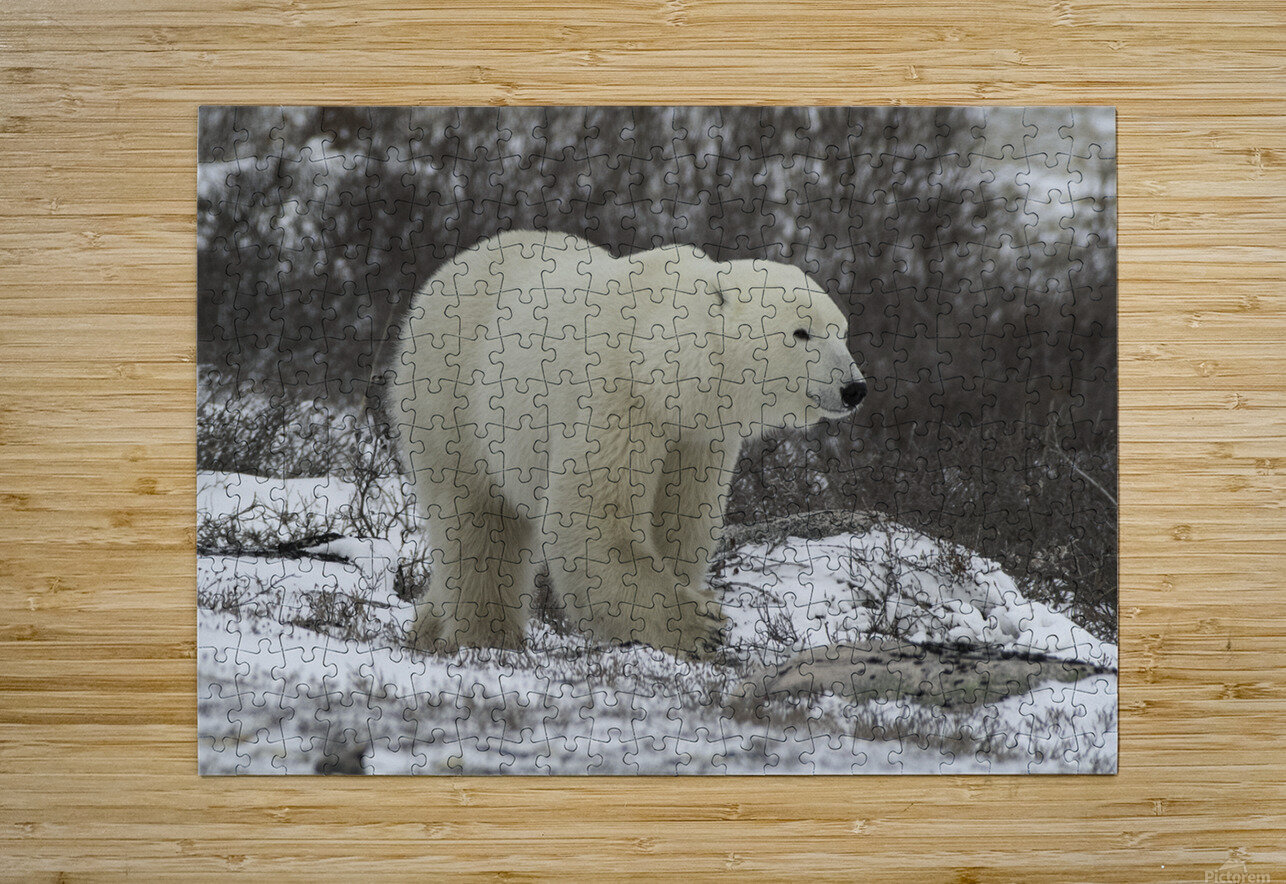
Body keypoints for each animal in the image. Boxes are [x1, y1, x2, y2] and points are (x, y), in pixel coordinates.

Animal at [387, 229, 866, 658]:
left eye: (841, 331)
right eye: (801, 333)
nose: (854, 388)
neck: (660, 363)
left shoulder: (698, 435)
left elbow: (680, 521)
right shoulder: (616, 399)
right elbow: (594, 521)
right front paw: (698, 624)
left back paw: (426, 629)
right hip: (450, 399)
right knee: (477, 524)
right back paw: (485, 635)